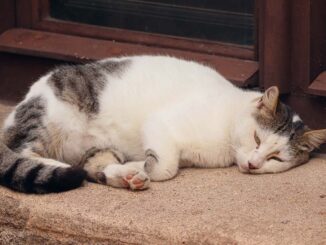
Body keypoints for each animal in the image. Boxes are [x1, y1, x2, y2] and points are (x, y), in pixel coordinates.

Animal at [0, 55, 326, 193]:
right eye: (257, 138)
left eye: (276, 158)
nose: (254, 164)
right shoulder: (160, 122)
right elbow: (167, 167)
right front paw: (150, 166)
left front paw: (139, 167)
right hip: (45, 119)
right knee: (24, 153)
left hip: (97, 148)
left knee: (91, 168)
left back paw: (126, 175)